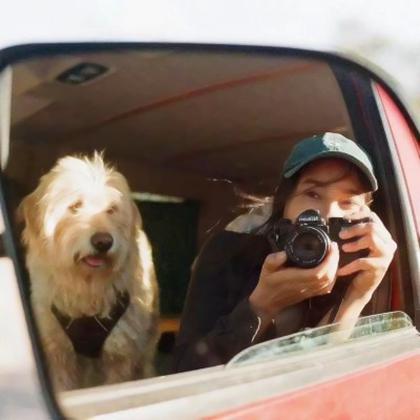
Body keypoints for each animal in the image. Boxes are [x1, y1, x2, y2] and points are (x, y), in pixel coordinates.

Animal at [17, 153, 159, 390]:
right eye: (75, 206)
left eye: (112, 209)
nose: (103, 242)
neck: (87, 285)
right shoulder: (59, 353)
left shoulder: (120, 353)